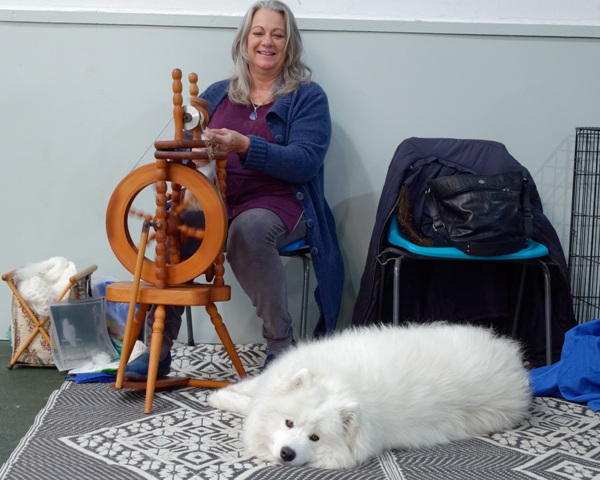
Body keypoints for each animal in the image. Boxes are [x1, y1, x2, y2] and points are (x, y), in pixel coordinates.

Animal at [209, 322, 532, 468]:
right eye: (289, 423)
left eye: (315, 438)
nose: (287, 453)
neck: (338, 380)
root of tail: (508, 355)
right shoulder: (276, 377)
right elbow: (252, 390)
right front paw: (221, 395)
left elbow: (250, 405)